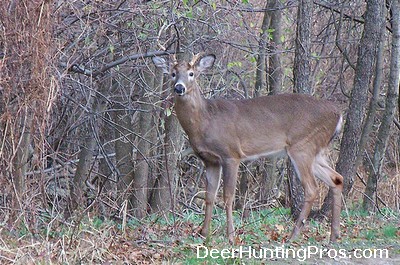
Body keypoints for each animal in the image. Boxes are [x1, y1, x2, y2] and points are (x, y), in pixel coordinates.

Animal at [153, 52, 344, 242]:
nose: (179, 88)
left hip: (302, 146)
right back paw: (333, 236)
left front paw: (230, 236)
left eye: (191, 73)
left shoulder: (231, 154)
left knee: (312, 188)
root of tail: (338, 113)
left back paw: (293, 236)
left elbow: (228, 196)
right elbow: (209, 196)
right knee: (336, 178)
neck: (205, 120)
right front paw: (204, 234)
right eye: (173, 73)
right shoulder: (210, 160)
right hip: (316, 150)